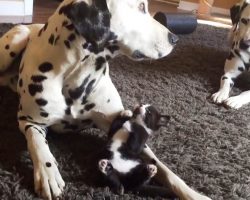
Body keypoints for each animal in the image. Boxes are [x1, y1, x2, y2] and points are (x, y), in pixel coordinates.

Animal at [0, 0, 211, 200]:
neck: (77, 77)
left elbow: (163, 167)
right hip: (16, 40)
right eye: (141, 6)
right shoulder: (30, 121)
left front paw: (192, 193)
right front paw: (47, 173)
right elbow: (37, 145)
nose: (175, 39)